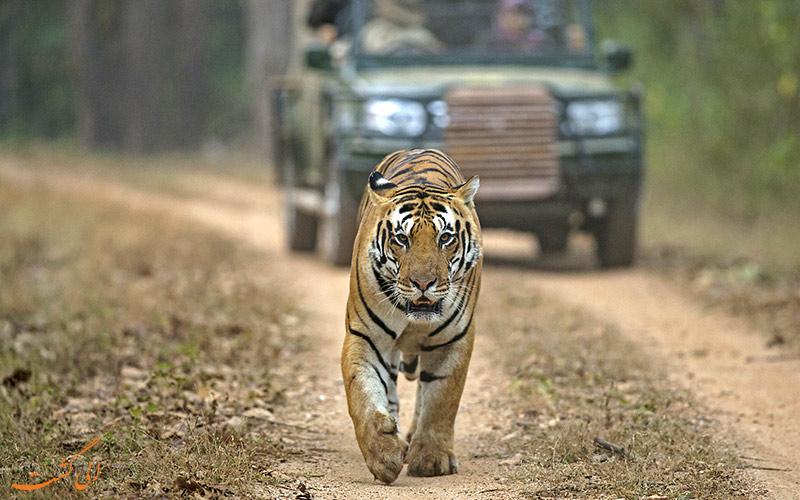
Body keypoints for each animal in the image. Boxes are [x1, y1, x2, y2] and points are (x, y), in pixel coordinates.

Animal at [340, 149, 482, 484]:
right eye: (402, 239)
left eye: (446, 238)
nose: (423, 283)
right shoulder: (365, 336)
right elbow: (363, 394)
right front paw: (383, 454)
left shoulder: (452, 341)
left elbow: (441, 400)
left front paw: (432, 459)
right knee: (390, 386)